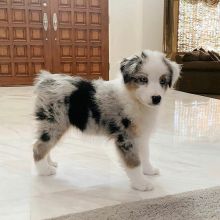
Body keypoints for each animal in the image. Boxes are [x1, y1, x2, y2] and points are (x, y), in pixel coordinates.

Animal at [33, 49, 180, 191]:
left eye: (162, 81)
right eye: (143, 79)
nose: (156, 98)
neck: (134, 99)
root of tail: (46, 80)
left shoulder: (141, 135)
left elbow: (145, 154)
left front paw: (149, 170)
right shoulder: (126, 137)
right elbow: (134, 162)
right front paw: (141, 184)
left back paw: (49, 163)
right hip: (54, 123)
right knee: (38, 147)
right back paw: (44, 170)